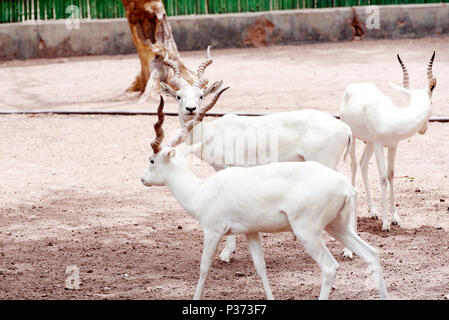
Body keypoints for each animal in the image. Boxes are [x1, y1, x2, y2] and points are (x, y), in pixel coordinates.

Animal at [141, 96, 388, 302]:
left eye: (152, 160)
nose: (143, 178)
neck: (200, 192)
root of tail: (345, 187)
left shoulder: (212, 231)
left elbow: (203, 268)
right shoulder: (251, 232)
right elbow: (260, 267)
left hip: (309, 232)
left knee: (329, 267)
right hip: (337, 226)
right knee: (372, 255)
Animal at [340, 52, 434, 232]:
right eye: (432, 102)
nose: (423, 129)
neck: (392, 117)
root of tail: (352, 87)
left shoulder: (392, 146)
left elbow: (391, 175)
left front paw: (395, 218)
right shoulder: (379, 145)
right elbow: (383, 178)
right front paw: (385, 224)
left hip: (369, 143)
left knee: (363, 164)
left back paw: (373, 211)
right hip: (354, 137)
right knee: (354, 164)